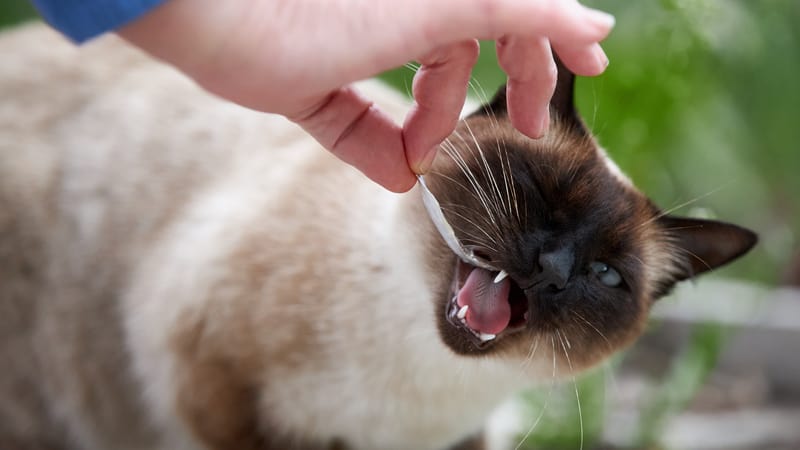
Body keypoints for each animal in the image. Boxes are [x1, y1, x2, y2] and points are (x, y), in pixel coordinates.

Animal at [0, 23, 756, 450]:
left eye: (604, 276)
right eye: (540, 193)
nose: (551, 267)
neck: (418, 384)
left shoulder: (462, 439)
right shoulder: (208, 381)